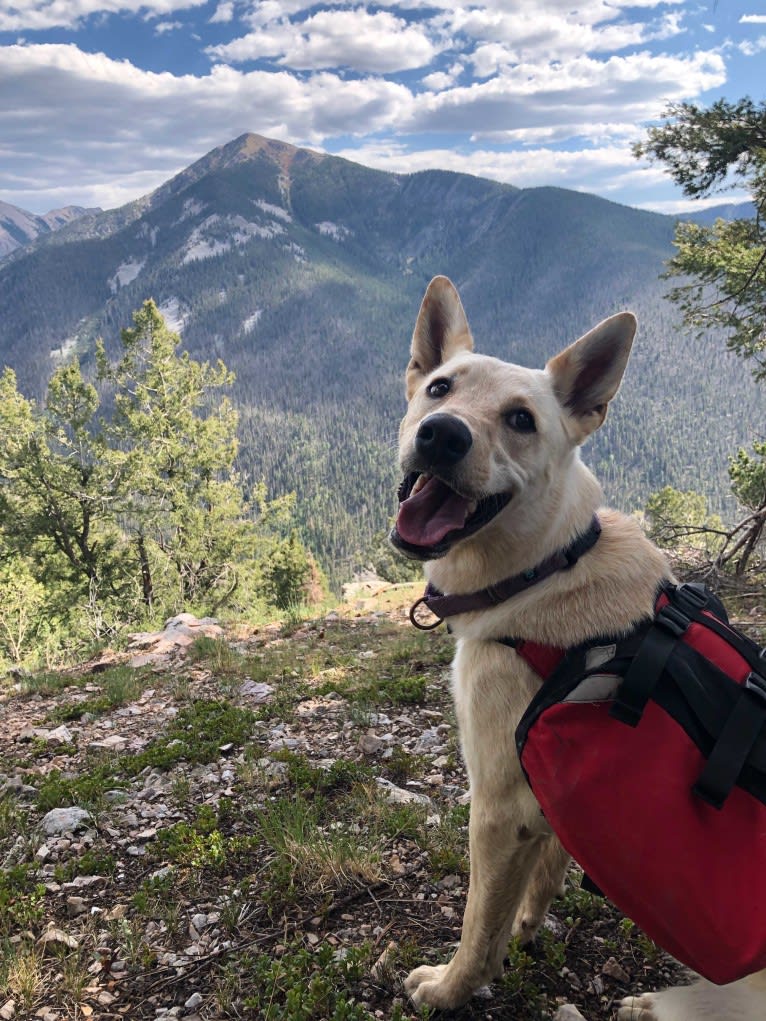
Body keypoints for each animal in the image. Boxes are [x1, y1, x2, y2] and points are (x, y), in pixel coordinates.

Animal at [392, 273, 763, 1021]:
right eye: (439, 388)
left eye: (521, 421)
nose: (440, 435)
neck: (545, 566)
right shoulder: (549, 794)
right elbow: (543, 873)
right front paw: (531, 923)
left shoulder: (497, 808)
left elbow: (478, 926)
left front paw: (449, 987)